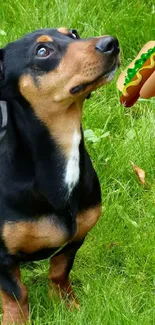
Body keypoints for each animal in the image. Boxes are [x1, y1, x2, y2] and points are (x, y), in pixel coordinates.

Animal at [0, 27, 119, 324]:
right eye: (42, 51)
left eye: (73, 33)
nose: (111, 43)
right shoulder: (2, 258)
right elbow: (16, 295)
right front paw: (16, 320)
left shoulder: (75, 239)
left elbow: (59, 272)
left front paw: (68, 305)